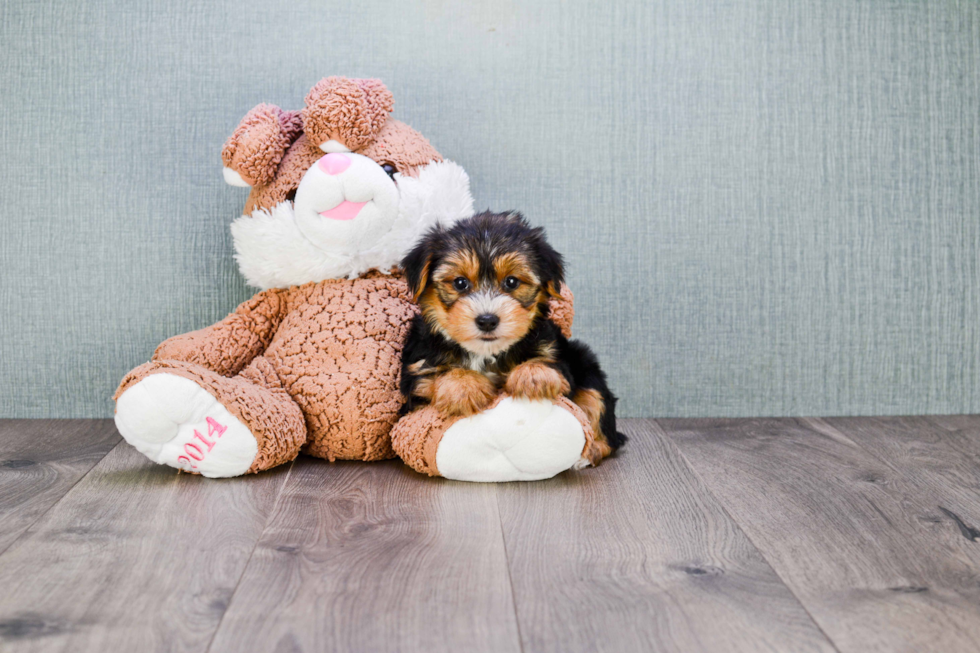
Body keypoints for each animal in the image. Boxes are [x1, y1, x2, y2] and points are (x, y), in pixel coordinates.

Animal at [400, 211, 624, 460]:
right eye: (460, 283)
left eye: (512, 282)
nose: (487, 320)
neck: (486, 353)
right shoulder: (416, 369)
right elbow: (430, 377)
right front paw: (463, 387)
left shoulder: (556, 353)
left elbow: (552, 365)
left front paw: (533, 375)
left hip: (584, 362)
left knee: (599, 406)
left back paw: (590, 452)